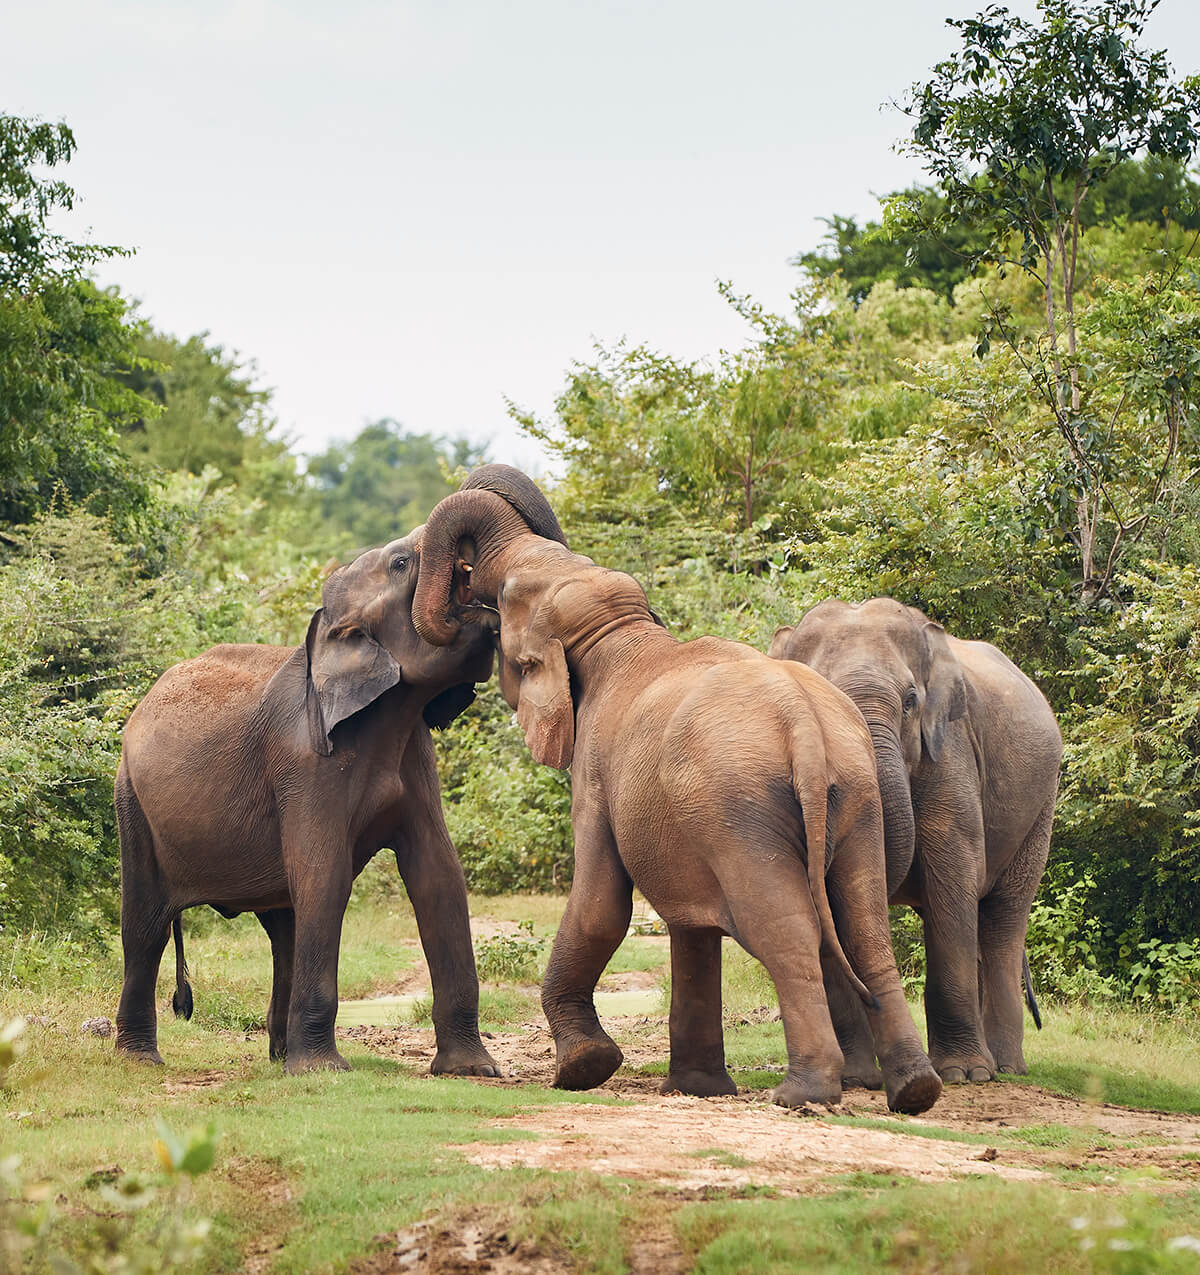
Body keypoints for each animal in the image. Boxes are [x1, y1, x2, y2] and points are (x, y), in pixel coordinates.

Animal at [113, 464, 561, 1071]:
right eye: (401, 563)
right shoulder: (304, 764)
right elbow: (324, 878)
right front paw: (324, 1071)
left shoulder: (416, 758)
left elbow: (440, 877)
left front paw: (472, 1070)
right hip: (131, 801)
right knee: (146, 926)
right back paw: (143, 1060)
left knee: (283, 925)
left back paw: (279, 1060)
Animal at [413, 479, 943, 1116]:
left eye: (506, 596)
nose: (466, 593)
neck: (619, 631)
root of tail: (803, 726)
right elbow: (691, 926)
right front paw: (695, 1089)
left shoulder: (596, 773)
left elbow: (601, 904)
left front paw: (584, 1069)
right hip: (858, 799)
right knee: (865, 927)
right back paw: (914, 1091)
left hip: (743, 813)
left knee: (786, 932)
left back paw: (802, 1093)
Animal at [770, 596, 1055, 1086]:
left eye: (910, 702)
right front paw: (855, 1079)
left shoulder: (950, 756)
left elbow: (952, 881)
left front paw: (962, 1074)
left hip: (1041, 805)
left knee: (1001, 918)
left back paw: (1002, 1069)